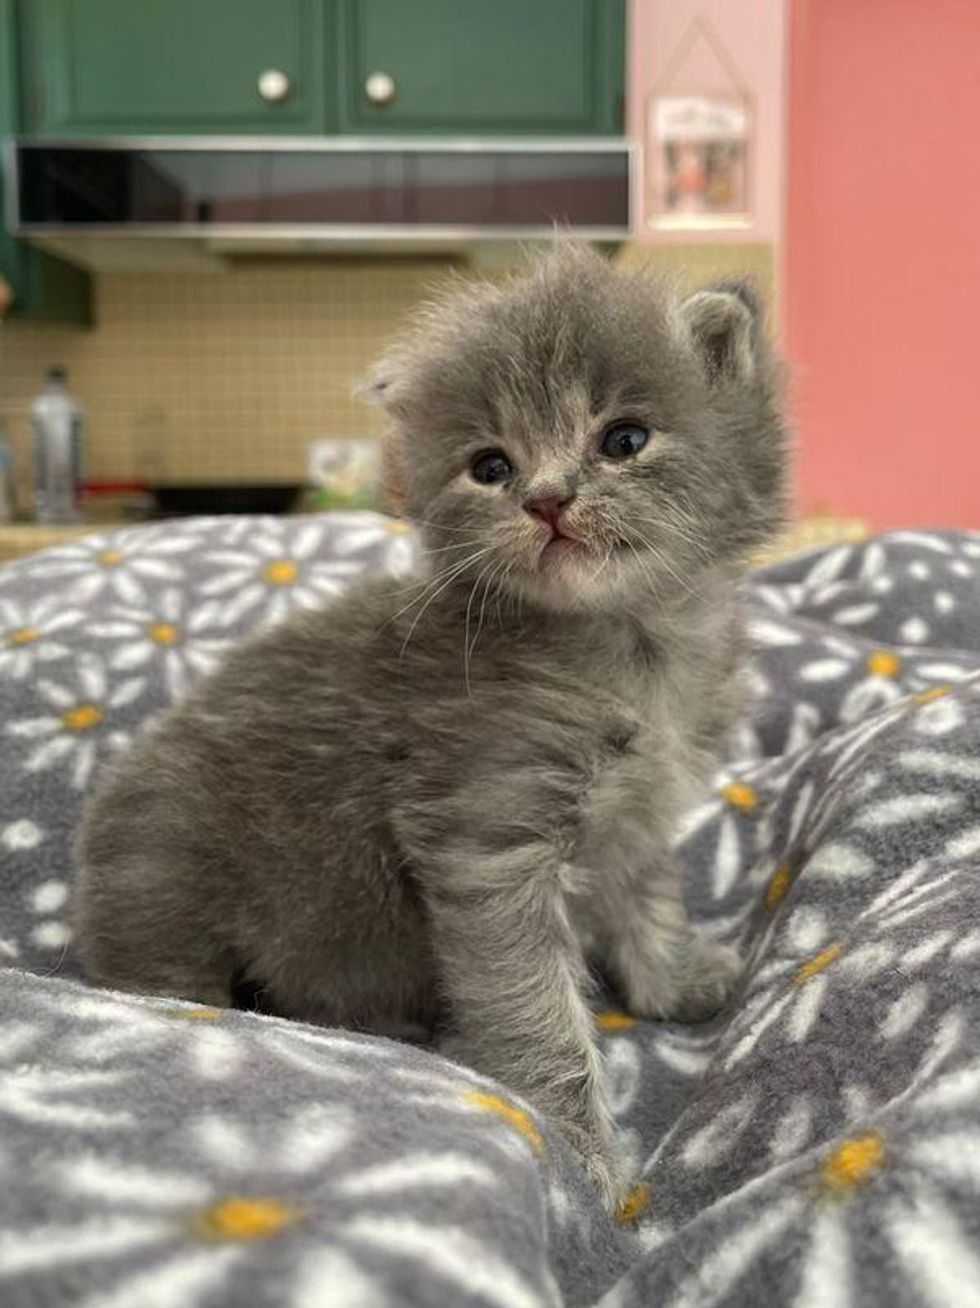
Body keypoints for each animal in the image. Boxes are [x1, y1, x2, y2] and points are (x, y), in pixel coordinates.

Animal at [72, 245, 785, 1203]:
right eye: (490, 466)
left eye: (625, 440)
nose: (547, 499)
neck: (632, 646)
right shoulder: (487, 833)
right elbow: (533, 1006)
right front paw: (582, 1154)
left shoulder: (634, 817)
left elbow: (648, 900)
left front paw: (669, 982)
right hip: (170, 881)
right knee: (167, 980)